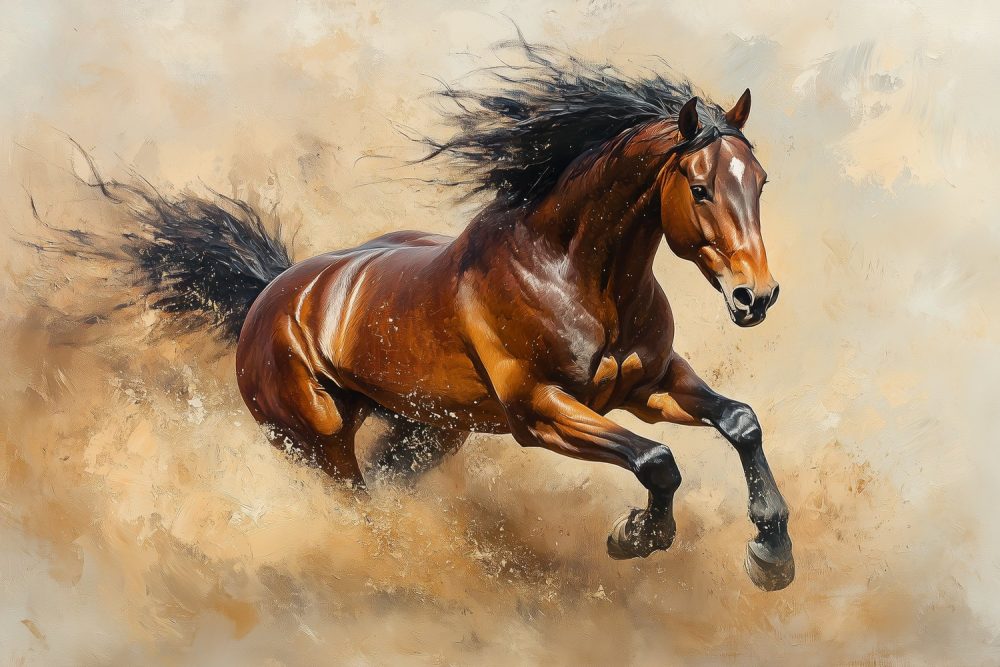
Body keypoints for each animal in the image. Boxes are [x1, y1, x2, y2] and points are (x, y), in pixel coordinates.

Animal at [73, 42, 793, 591]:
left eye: (759, 181)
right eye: (699, 188)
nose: (755, 297)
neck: (573, 273)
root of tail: (269, 295)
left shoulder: (647, 385)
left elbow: (740, 420)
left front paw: (772, 551)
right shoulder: (540, 411)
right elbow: (656, 461)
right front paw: (636, 534)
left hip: (427, 432)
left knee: (390, 482)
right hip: (318, 444)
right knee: (359, 500)